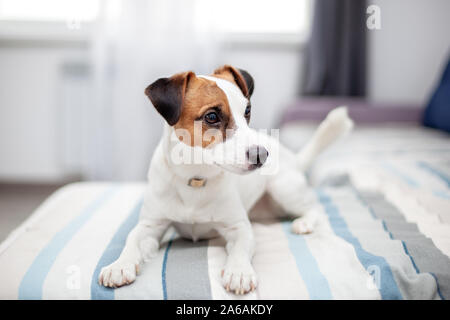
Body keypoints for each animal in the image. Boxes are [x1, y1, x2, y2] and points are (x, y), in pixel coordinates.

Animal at [99, 65, 356, 296]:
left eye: (247, 111)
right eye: (212, 116)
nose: (262, 155)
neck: (196, 178)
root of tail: (293, 156)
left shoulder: (239, 227)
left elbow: (241, 248)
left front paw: (239, 271)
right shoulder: (150, 226)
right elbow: (132, 239)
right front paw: (119, 265)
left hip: (284, 189)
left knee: (315, 208)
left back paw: (304, 222)